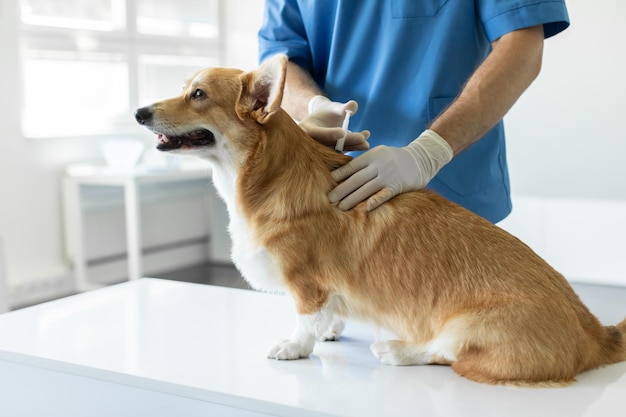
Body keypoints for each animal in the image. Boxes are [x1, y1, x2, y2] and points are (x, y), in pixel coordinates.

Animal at [136, 53, 624, 386]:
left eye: (198, 95)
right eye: (186, 87)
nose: (139, 112)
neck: (265, 174)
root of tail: (595, 334)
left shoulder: (305, 279)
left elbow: (304, 317)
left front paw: (295, 346)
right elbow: (327, 312)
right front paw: (330, 331)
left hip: (467, 328)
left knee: (448, 355)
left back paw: (396, 350)